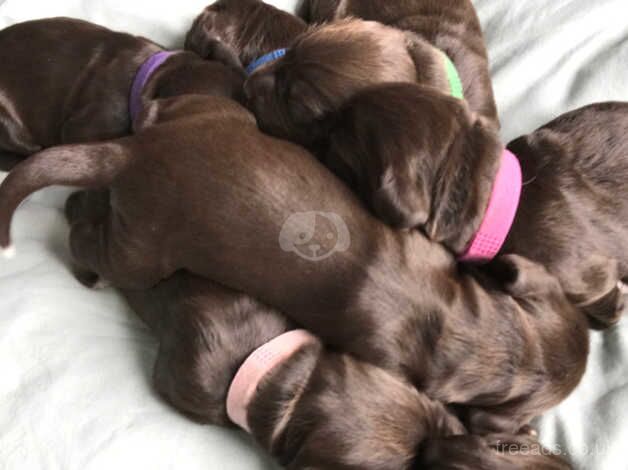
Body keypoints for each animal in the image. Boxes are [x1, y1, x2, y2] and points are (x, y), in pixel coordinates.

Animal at [0, 93, 588, 436]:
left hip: (212, 117)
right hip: (143, 248)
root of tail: (134, 152)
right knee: (89, 239)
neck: (464, 324)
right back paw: (88, 268)